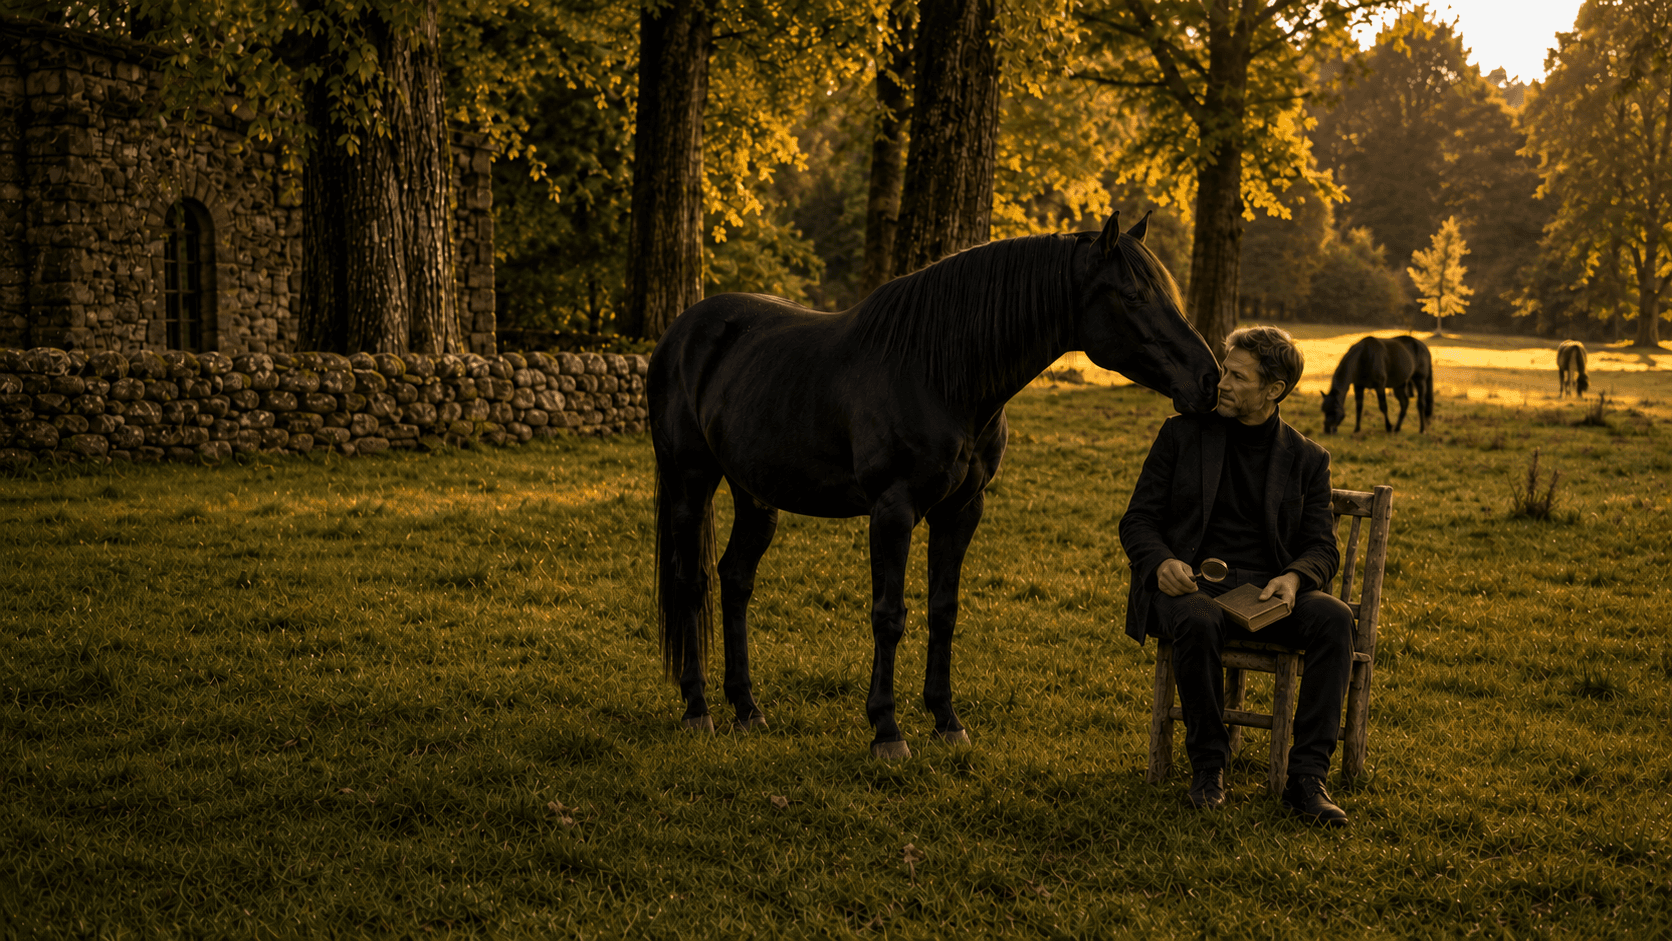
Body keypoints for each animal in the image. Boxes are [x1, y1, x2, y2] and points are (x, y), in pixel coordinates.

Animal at [649, 212, 1220, 759]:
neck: (938, 373)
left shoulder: (962, 510)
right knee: (691, 582)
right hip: (690, 482)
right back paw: (698, 708)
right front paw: (886, 729)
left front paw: (947, 721)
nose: (1209, 380)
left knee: (734, 579)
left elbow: (943, 611)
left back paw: (747, 708)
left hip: (755, 495)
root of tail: (682, 331)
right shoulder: (893, 510)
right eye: (1133, 295)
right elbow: (889, 615)